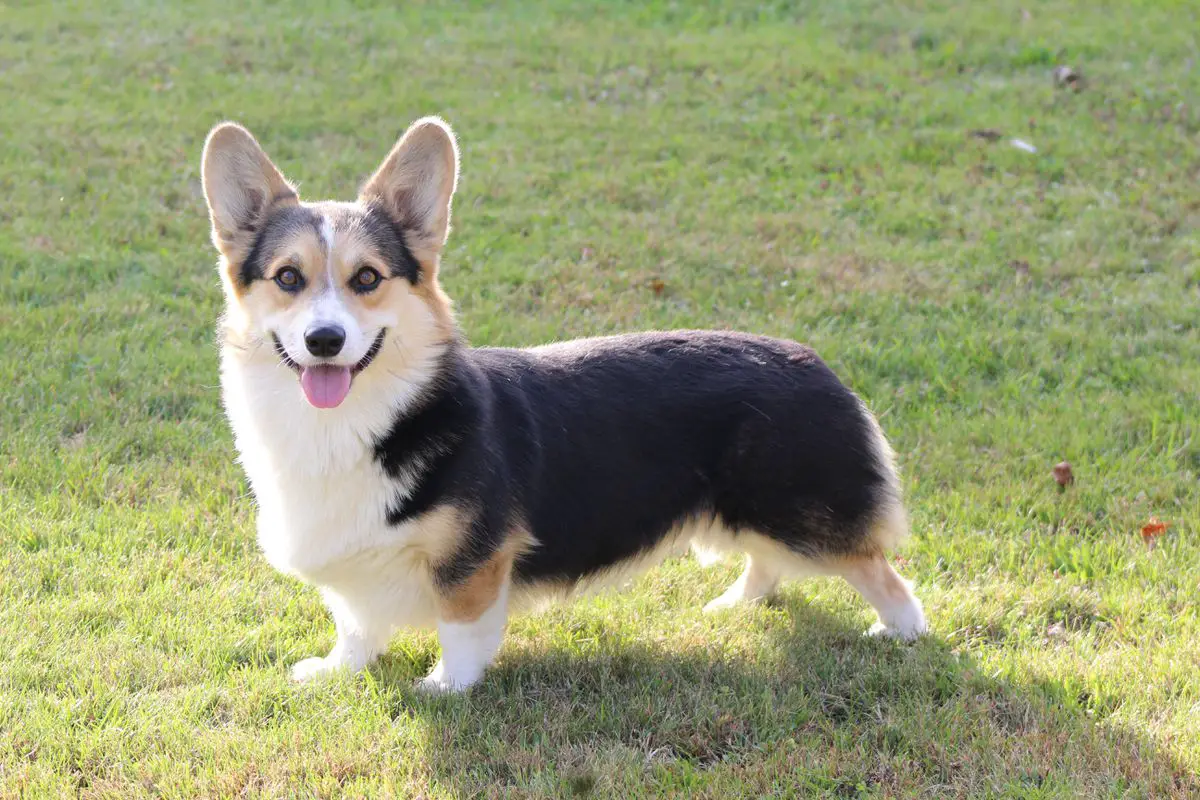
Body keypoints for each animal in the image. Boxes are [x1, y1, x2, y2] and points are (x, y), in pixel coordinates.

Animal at [201, 115, 921, 690]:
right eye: (288, 278)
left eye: (367, 278)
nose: (325, 341)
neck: (350, 426)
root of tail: (816, 363)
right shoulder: (356, 572)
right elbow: (353, 625)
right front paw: (333, 672)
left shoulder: (473, 563)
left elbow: (461, 630)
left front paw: (445, 690)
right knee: (767, 563)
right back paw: (736, 605)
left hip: (800, 518)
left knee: (882, 574)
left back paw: (901, 635)